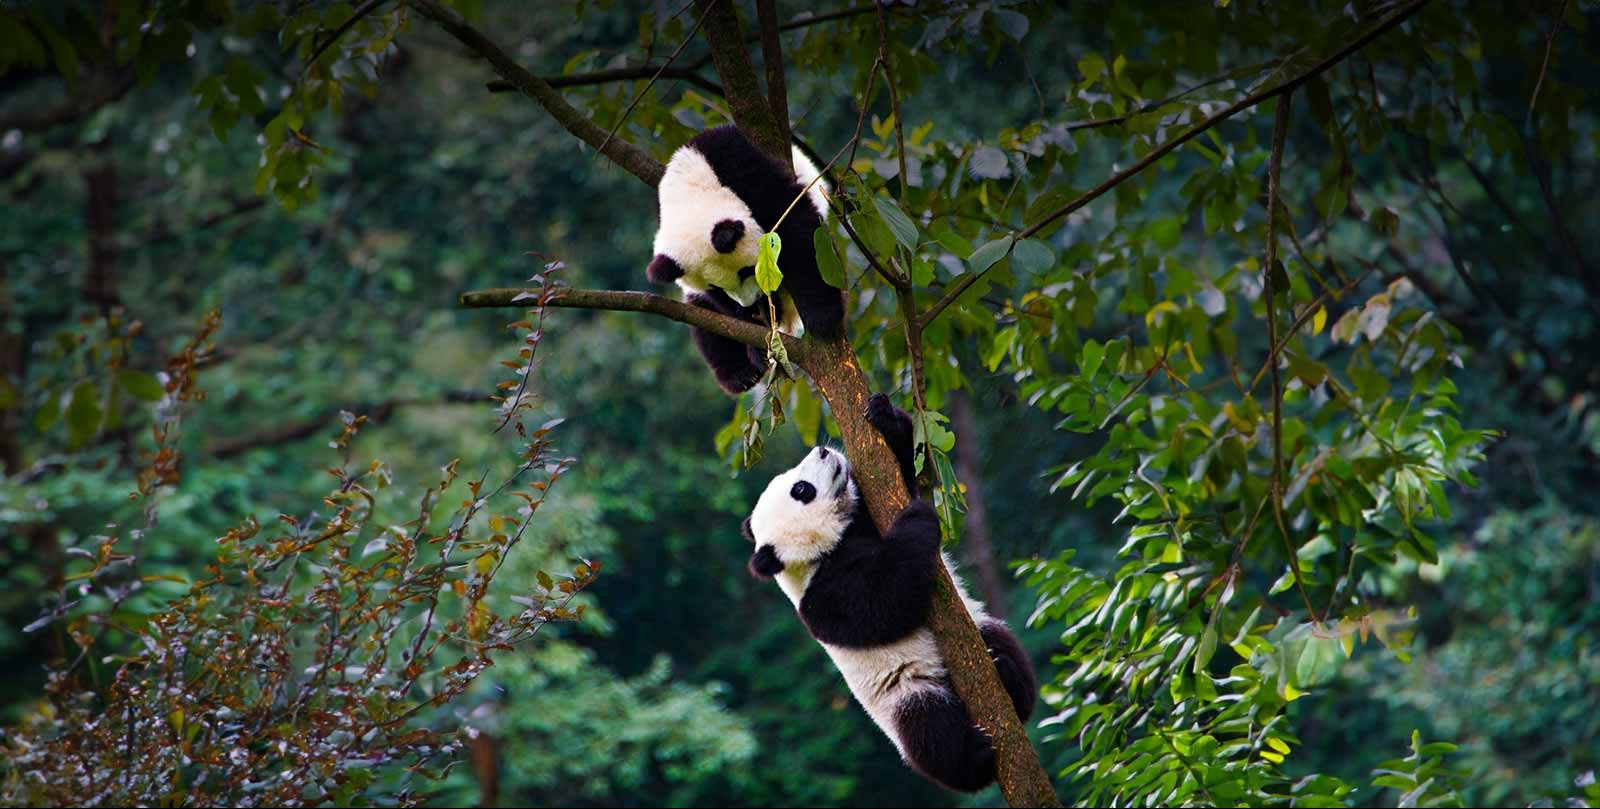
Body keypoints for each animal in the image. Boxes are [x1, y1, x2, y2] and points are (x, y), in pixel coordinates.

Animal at [646, 125, 845, 394]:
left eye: (747, 271)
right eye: (717, 289)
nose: (751, 303)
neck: (691, 187)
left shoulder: (742, 167)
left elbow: (796, 231)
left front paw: (823, 316)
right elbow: (714, 309)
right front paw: (754, 337)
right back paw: (741, 374)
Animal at [740, 393, 1037, 793]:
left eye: (789, 479)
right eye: (800, 489)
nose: (822, 450)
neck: (824, 548)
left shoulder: (865, 517)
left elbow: (904, 476)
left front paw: (884, 416)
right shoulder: (822, 597)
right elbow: (881, 605)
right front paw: (916, 521)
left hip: (979, 625)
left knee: (1001, 643)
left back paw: (1007, 675)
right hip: (902, 695)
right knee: (928, 730)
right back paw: (975, 756)